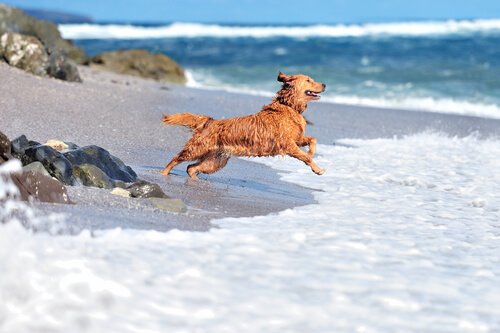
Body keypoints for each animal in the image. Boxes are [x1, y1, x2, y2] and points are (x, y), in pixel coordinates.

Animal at [160, 70, 324, 179]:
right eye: (308, 80)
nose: (324, 84)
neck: (288, 106)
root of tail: (209, 121)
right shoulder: (287, 144)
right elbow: (306, 157)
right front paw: (317, 168)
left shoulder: (297, 139)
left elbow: (312, 139)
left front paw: (312, 152)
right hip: (196, 149)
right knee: (176, 159)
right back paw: (163, 173)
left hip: (216, 161)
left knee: (191, 168)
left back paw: (195, 180)